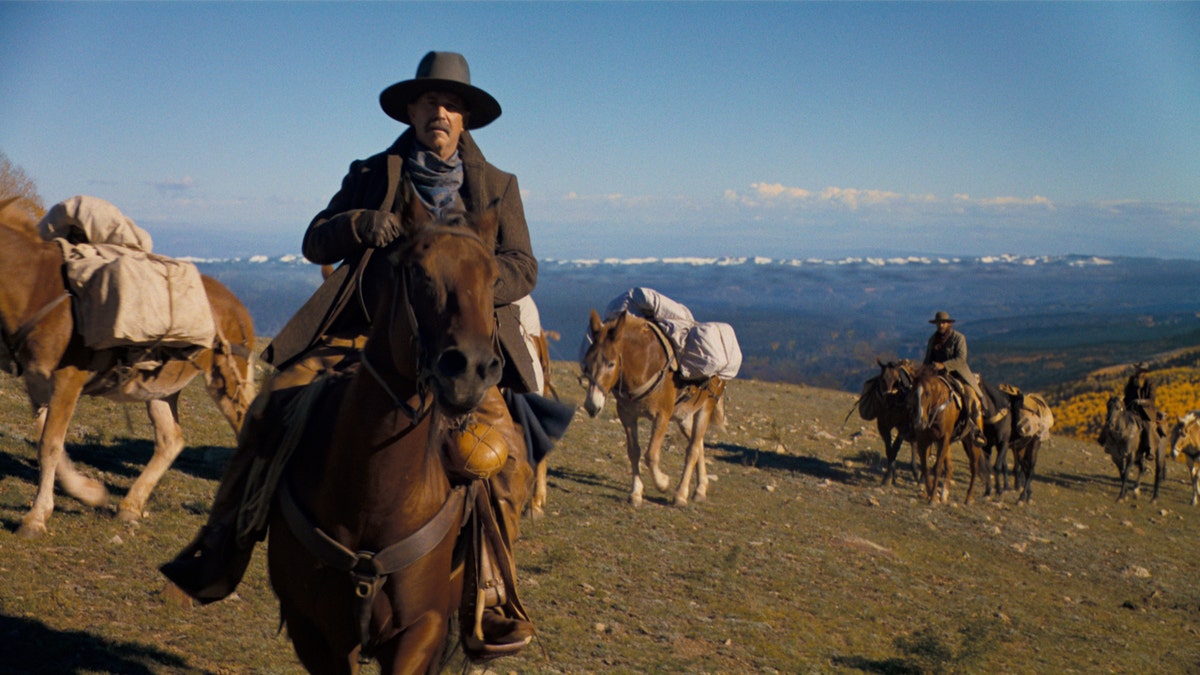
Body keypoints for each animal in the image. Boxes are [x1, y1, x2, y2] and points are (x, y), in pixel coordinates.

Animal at [0, 195, 253, 535]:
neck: (35, 289)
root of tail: (237, 307)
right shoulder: (37, 382)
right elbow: (49, 441)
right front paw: (89, 493)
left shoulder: (68, 380)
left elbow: (49, 445)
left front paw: (36, 517)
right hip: (159, 389)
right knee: (170, 440)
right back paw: (130, 506)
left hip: (224, 380)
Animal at [267, 207, 520, 667]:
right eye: (418, 272)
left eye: (494, 279)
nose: (470, 371)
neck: (376, 498)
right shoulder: (312, 630)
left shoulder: (424, 628)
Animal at [907, 365, 984, 502]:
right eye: (913, 393)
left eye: (928, 393)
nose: (920, 423)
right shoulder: (924, 440)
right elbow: (925, 467)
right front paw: (929, 492)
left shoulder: (943, 438)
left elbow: (937, 467)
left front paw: (933, 498)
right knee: (950, 468)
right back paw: (944, 494)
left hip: (972, 442)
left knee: (974, 467)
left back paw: (968, 497)